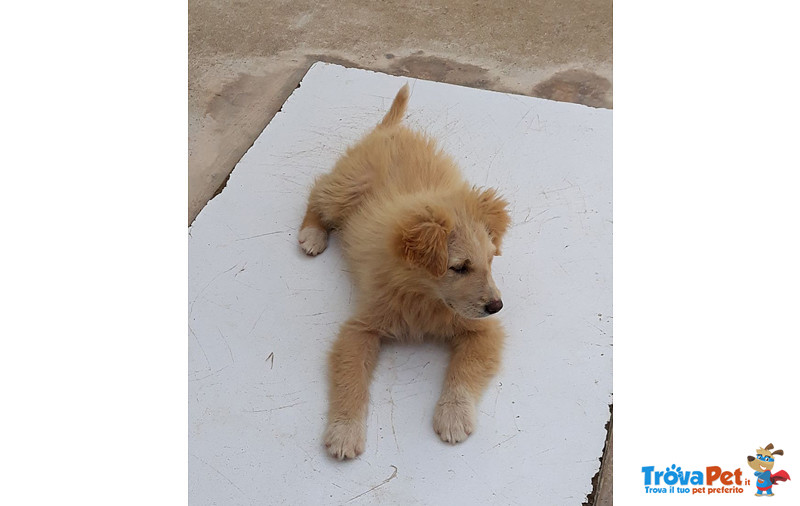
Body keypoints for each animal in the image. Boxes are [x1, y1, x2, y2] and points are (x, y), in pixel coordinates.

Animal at [300, 85, 512, 460]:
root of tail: (388, 130)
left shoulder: (484, 331)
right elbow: (350, 378)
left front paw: (454, 415)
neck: (424, 295)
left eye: (490, 260)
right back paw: (312, 234)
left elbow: (465, 370)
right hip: (344, 190)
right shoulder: (359, 328)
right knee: (317, 191)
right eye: (459, 267)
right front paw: (344, 431)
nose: (497, 307)